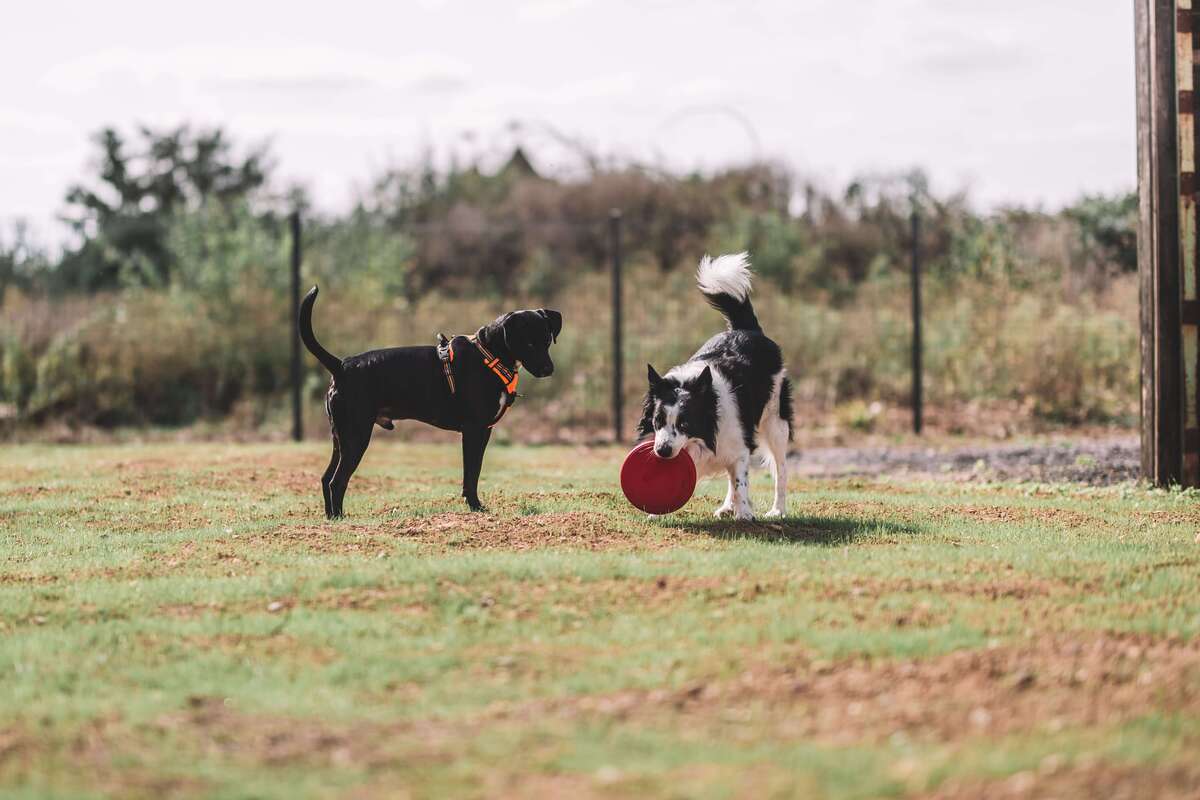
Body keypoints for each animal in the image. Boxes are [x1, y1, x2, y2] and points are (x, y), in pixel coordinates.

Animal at [300, 287, 561, 520]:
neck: (489, 354)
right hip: (356, 437)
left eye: (548, 340)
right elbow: (472, 473)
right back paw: (339, 518)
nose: (548, 370)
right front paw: (476, 508)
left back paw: (330, 517)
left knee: (326, 477)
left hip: (340, 438)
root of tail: (341, 366)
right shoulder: (474, 430)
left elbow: (472, 473)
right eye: (528, 343)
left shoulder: (483, 431)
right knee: (337, 481)